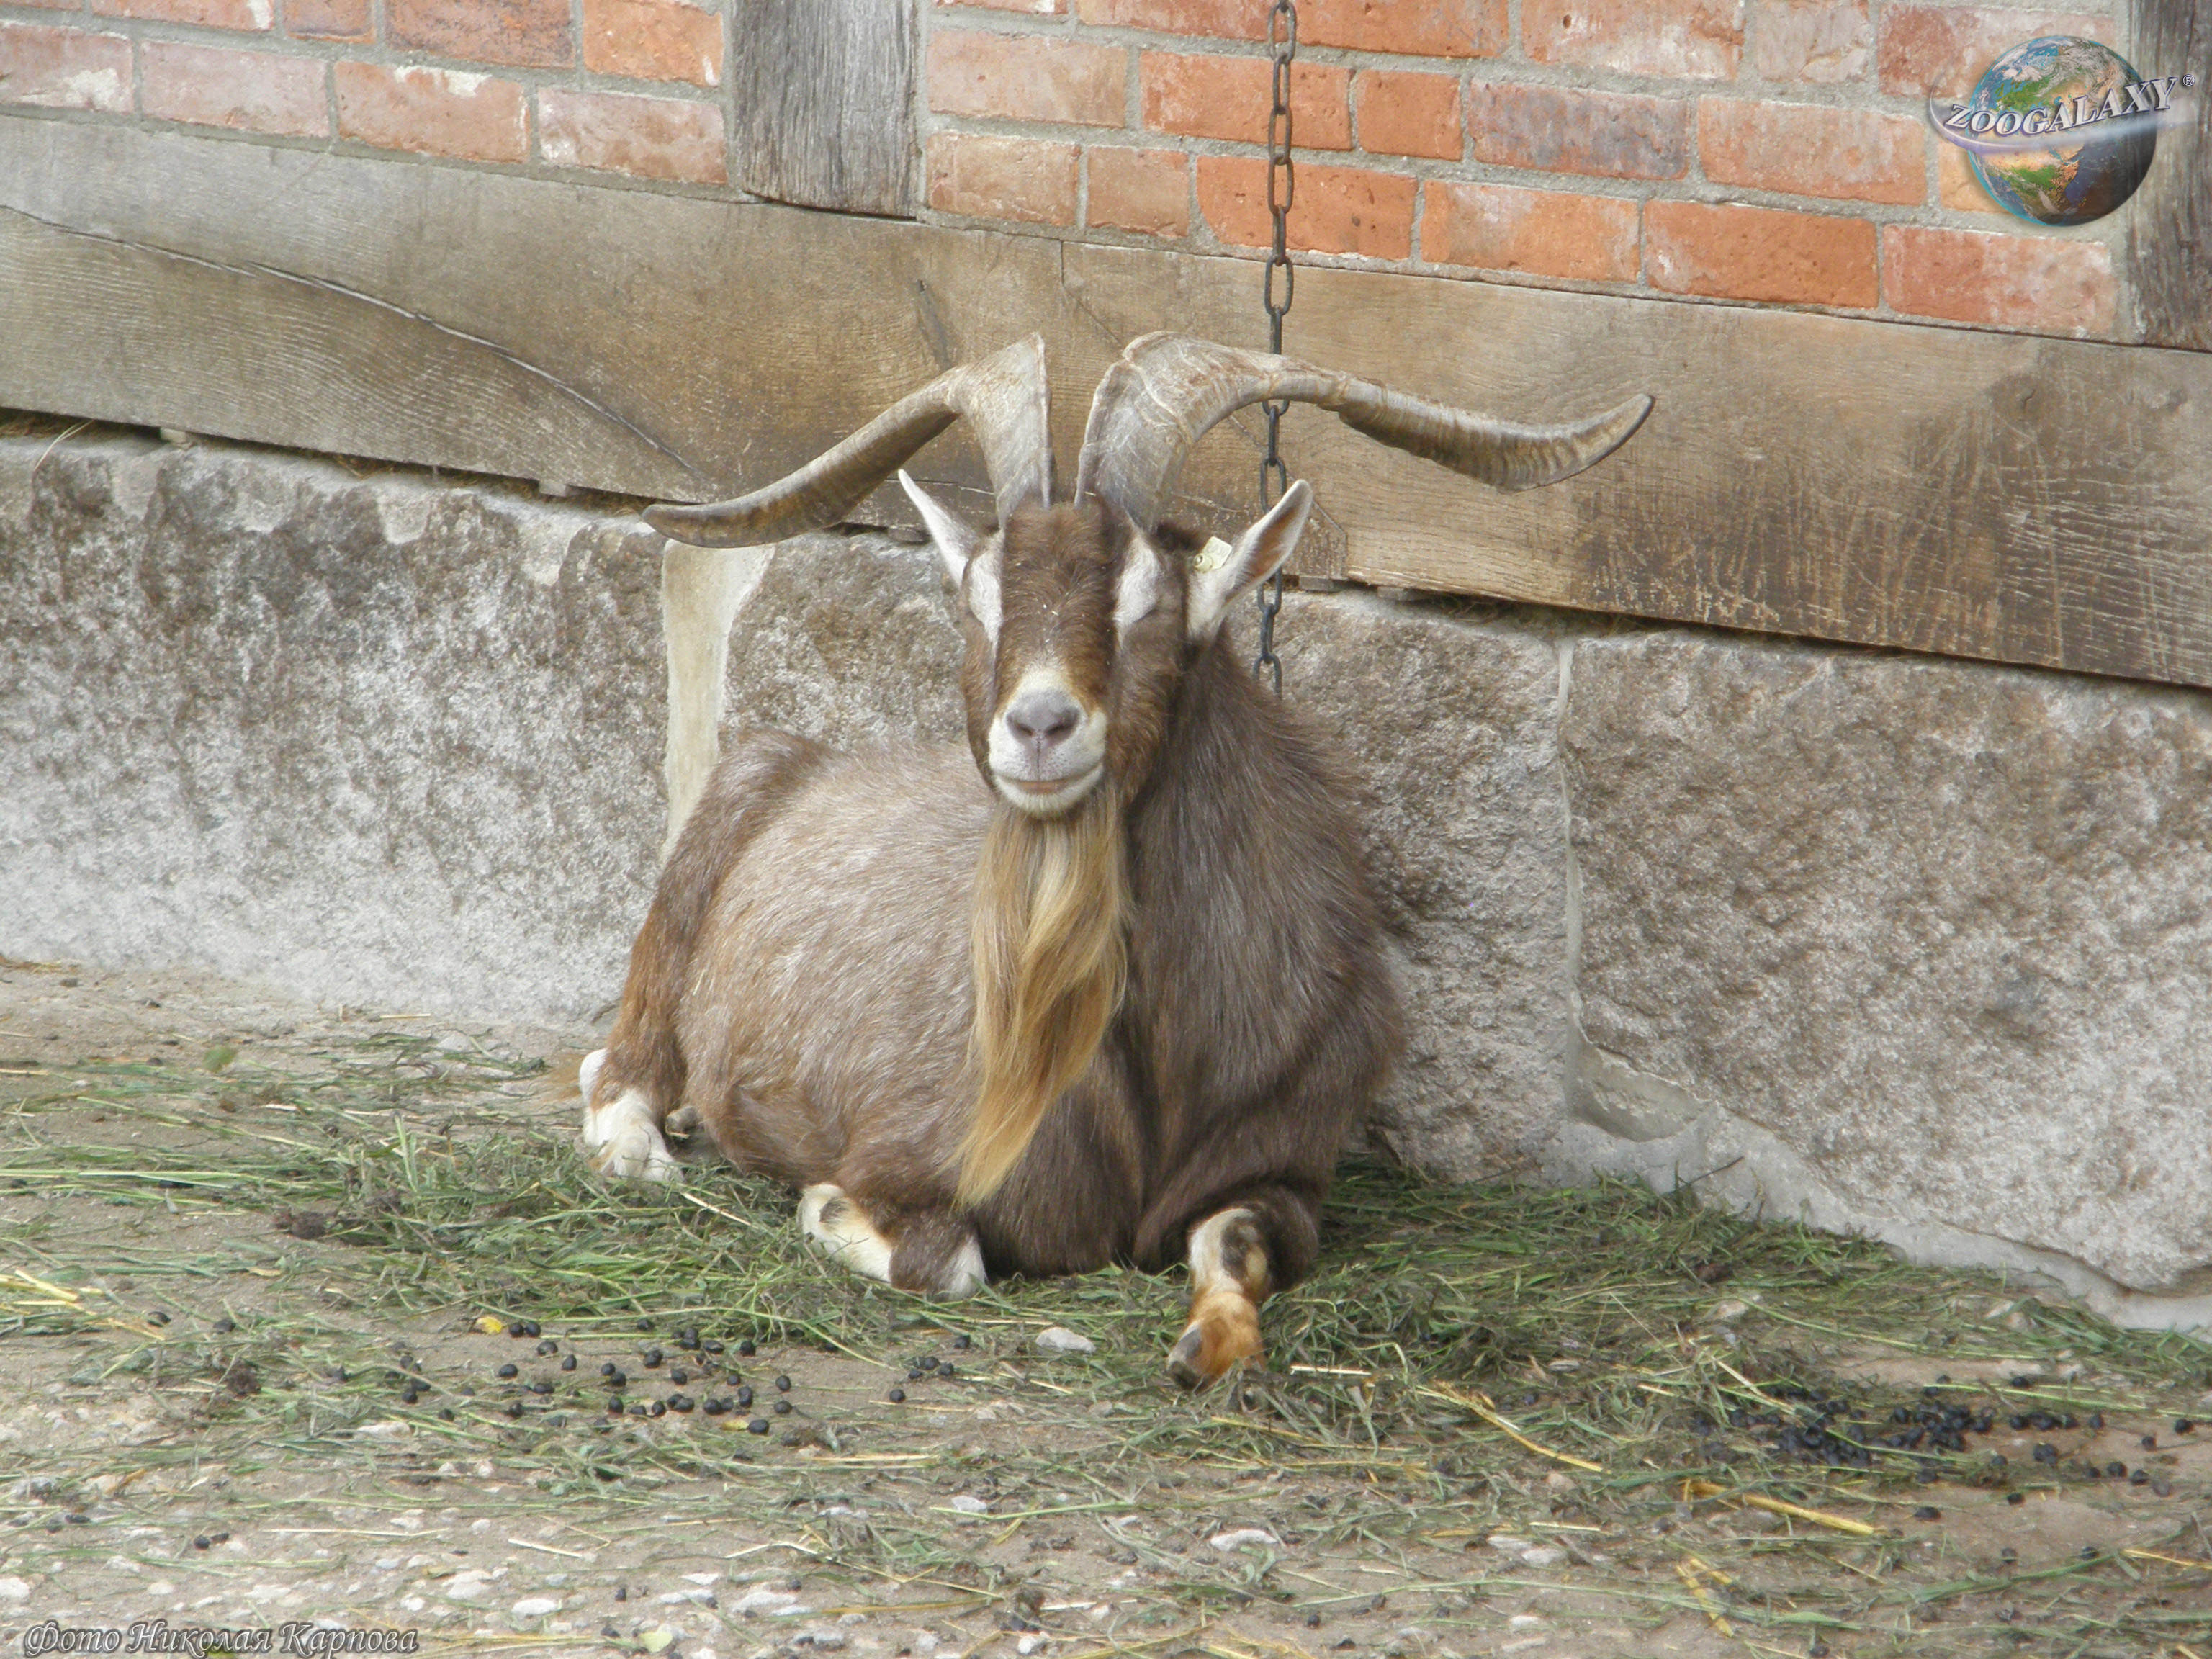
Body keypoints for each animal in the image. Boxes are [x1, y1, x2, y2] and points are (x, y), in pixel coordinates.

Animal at [579, 338, 1654, 1389]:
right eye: (979, 602)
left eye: (1150, 601)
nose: (1040, 726)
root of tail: (800, 762)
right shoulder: (913, 1152)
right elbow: (950, 1259)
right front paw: (822, 1208)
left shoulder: (1283, 1168)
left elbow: (1240, 1245)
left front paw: (1207, 1344)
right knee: (619, 1069)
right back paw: (641, 1148)